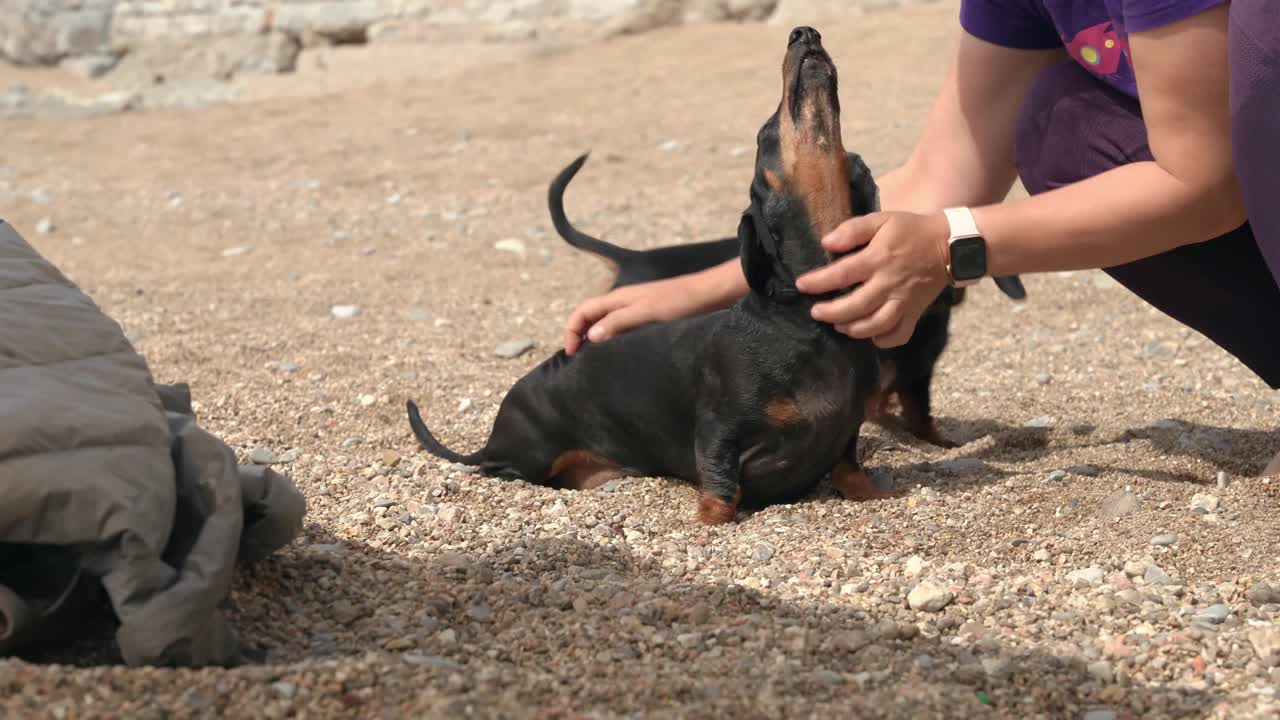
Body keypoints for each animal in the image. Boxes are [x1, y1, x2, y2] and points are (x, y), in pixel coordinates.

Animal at [407, 26, 890, 520]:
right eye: (765, 132)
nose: (803, 32)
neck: (808, 317)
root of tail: (494, 435)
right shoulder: (718, 430)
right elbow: (721, 488)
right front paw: (712, 521)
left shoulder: (846, 430)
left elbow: (849, 470)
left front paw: (876, 494)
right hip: (529, 457)